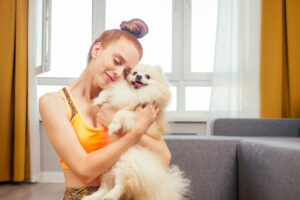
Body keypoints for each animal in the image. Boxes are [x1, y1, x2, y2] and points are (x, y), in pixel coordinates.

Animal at [82, 64, 190, 200]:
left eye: (147, 76)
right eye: (134, 73)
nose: (138, 76)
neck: (135, 93)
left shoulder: (137, 115)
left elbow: (120, 113)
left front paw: (113, 126)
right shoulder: (120, 92)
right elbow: (107, 92)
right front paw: (98, 99)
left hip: (127, 163)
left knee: (120, 186)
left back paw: (111, 196)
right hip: (105, 166)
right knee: (105, 187)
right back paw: (91, 197)